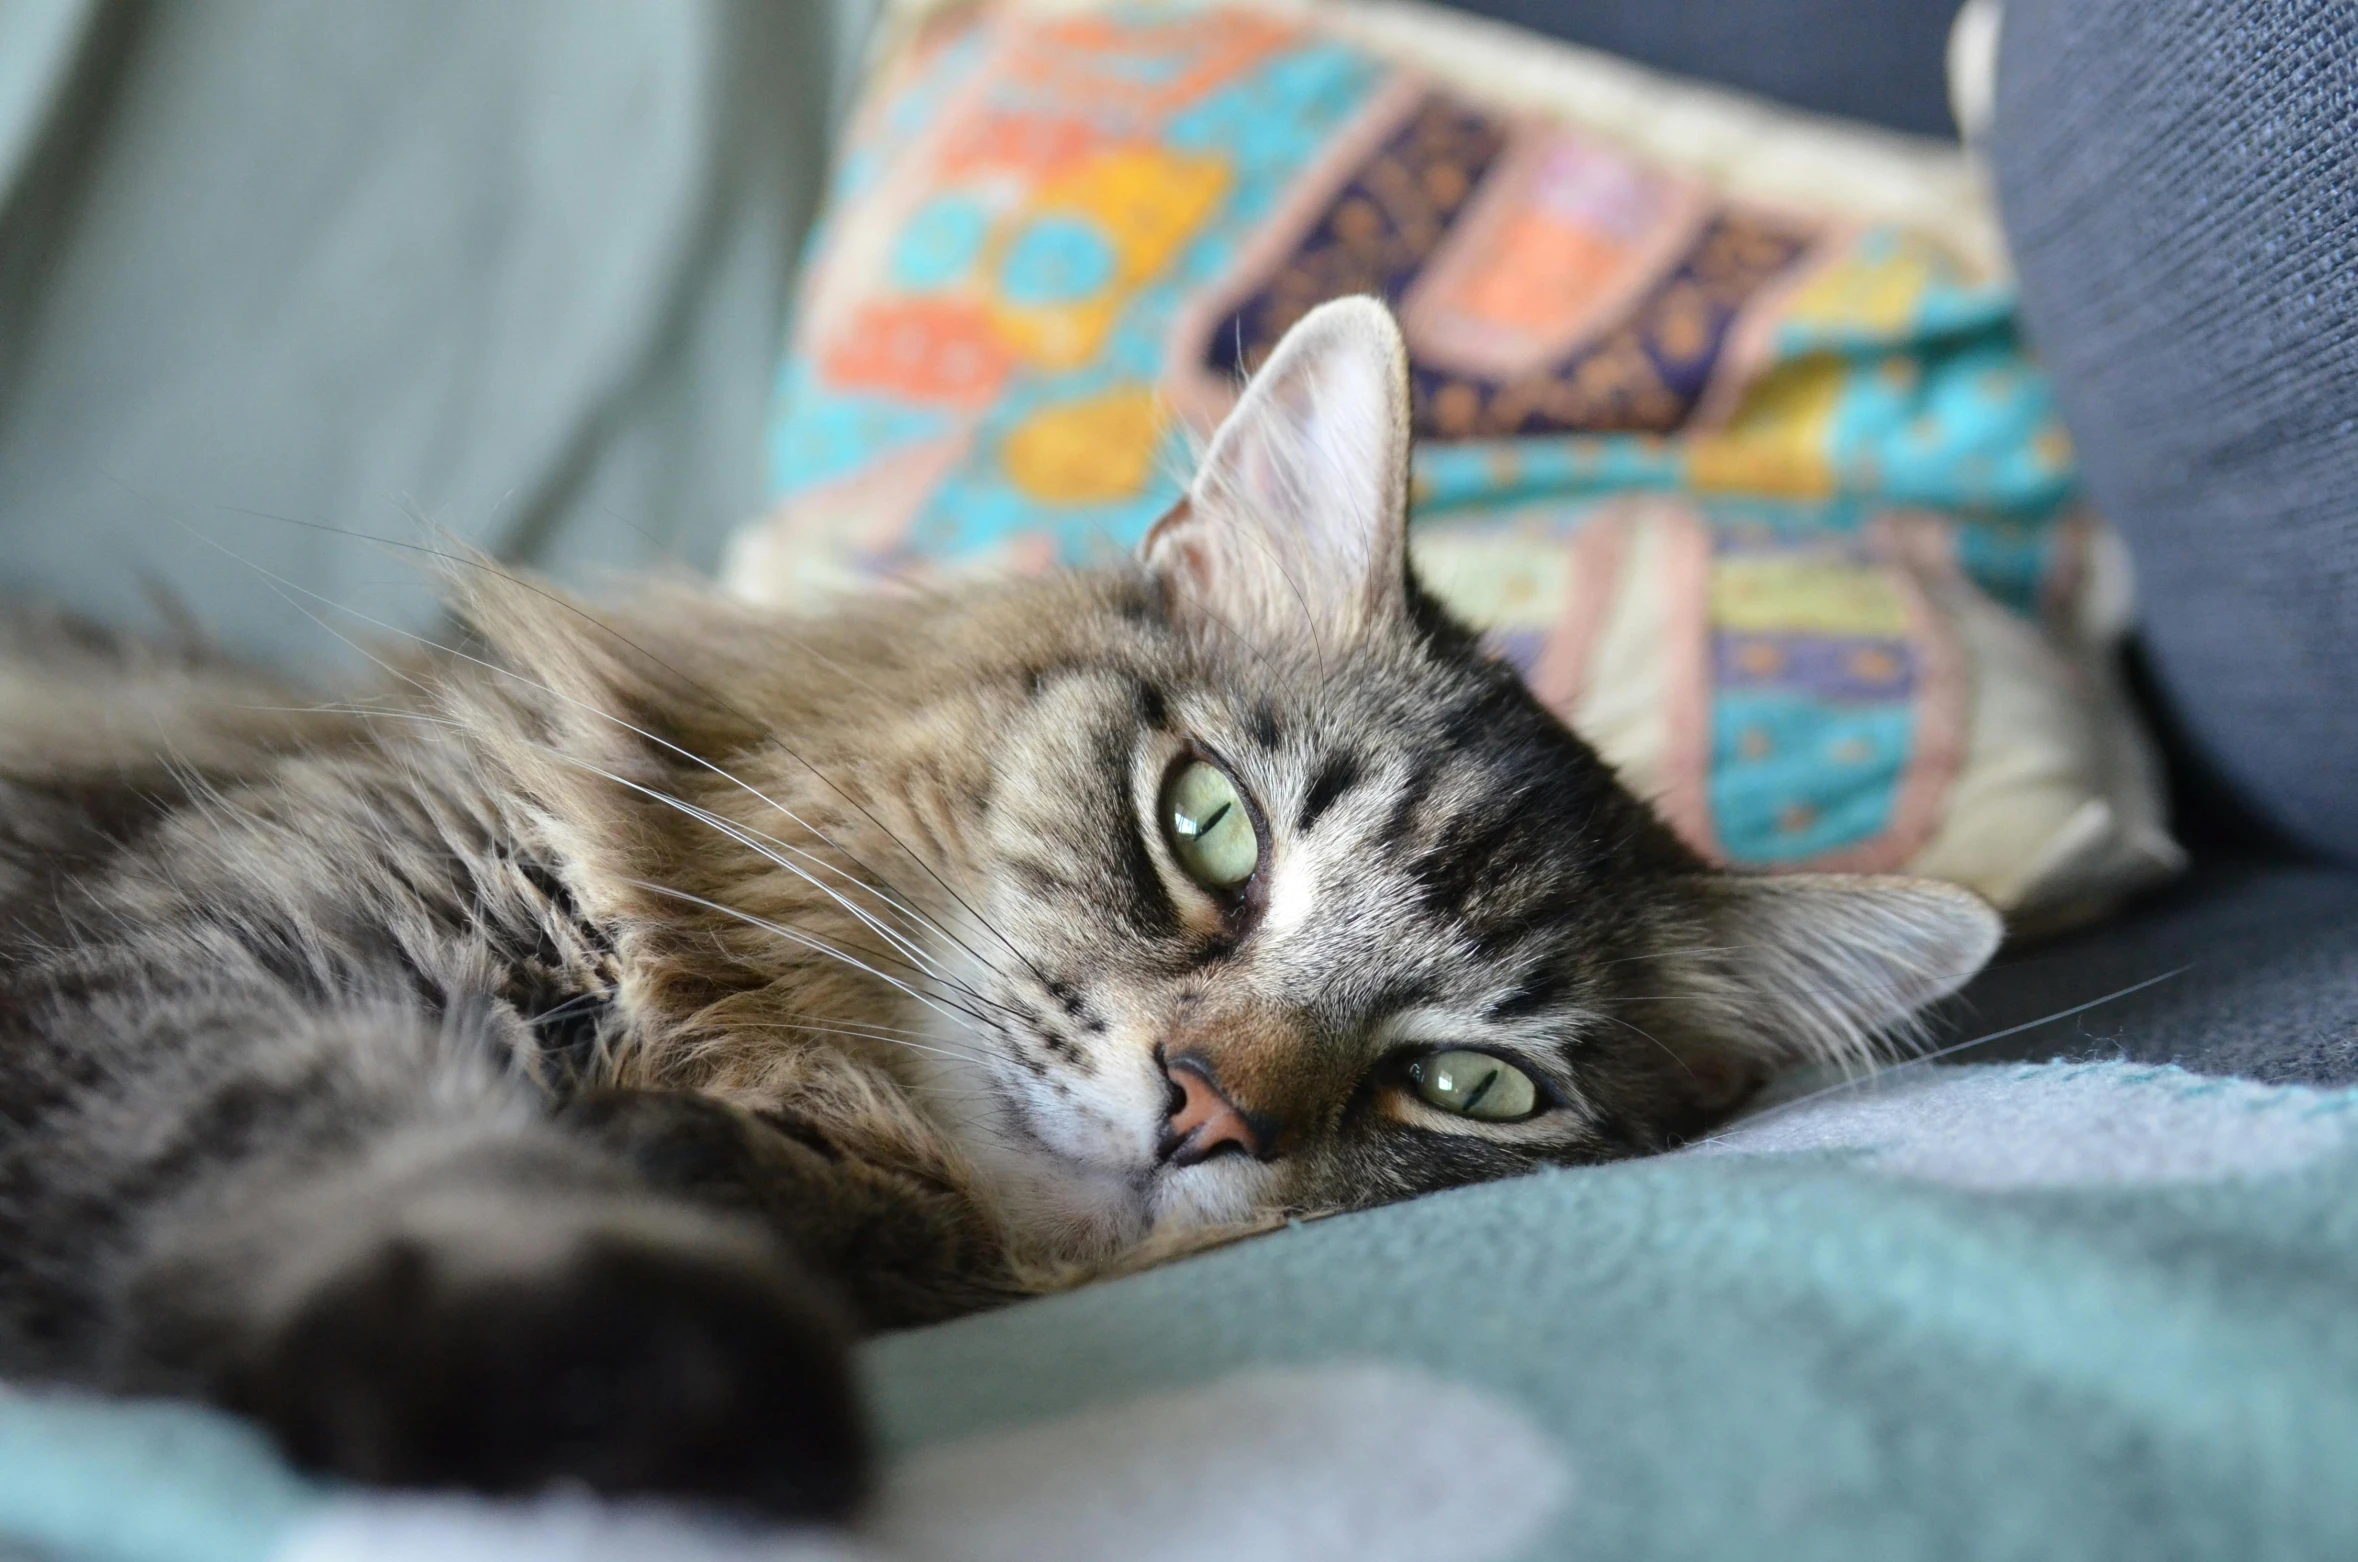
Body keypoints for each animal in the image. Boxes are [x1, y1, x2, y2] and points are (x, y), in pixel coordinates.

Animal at [0, 299, 1999, 1519]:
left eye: (1472, 1087)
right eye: (1209, 828)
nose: (1205, 1107)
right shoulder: (210, 955)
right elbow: (341, 1145)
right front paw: (639, 1363)